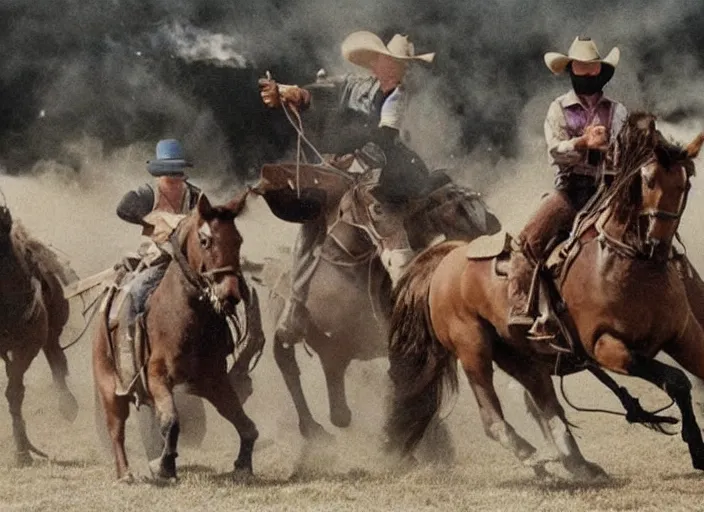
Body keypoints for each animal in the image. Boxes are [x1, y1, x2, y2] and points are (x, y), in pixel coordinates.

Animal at [0, 204, 78, 464]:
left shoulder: (27, 346)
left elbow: (14, 393)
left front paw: (22, 451)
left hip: (52, 328)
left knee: (55, 354)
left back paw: (67, 404)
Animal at [93, 191, 258, 480]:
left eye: (238, 239)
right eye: (205, 240)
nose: (230, 293)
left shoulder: (213, 381)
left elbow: (245, 424)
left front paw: (243, 464)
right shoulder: (156, 377)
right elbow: (171, 421)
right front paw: (163, 467)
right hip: (108, 386)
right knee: (116, 430)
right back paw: (125, 473)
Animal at [253, 164, 496, 440]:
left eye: (410, 209)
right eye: (376, 209)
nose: (402, 260)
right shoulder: (331, 347)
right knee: (290, 364)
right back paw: (312, 428)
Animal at [388, 113, 704, 480]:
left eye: (685, 183)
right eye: (649, 180)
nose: (658, 244)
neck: (623, 262)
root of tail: (447, 257)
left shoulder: (684, 335)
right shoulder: (607, 347)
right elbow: (677, 380)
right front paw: (697, 448)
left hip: (521, 357)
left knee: (549, 407)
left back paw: (579, 464)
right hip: (472, 348)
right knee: (492, 415)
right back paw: (532, 456)